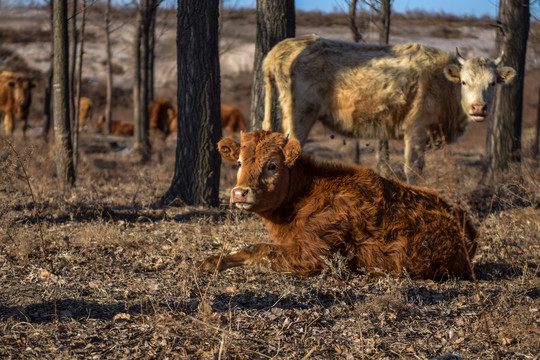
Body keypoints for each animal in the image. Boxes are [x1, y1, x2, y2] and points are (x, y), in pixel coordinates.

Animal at [198, 131, 476, 280]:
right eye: (239, 163)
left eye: (272, 165)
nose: (239, 192)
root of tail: (460, 217)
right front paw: (212, 261)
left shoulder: (313, 255)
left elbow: (258, 249)